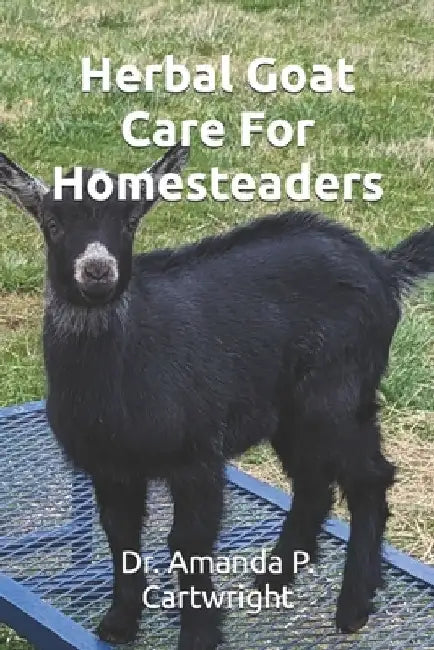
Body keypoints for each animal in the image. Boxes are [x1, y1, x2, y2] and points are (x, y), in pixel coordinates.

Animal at [1, 143, 433, 650]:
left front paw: (199, 634)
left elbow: (188, 541)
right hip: (288, 411)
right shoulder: (111, 466)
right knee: (313, 481)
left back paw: (353, 606)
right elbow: (121, 535)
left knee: (369, 479)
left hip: (337, 396)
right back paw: (276, 575)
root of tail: (382, 266)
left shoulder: (197, 456)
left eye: (129, 221)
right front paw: (119, 623)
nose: (97, 271)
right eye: (52, 223)